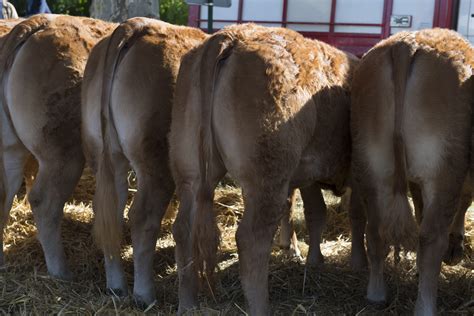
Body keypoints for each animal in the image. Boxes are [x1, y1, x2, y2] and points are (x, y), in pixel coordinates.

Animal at [81, 17, 206, 306]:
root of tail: (134, 24)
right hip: (154, 161)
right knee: (141, 217)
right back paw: (143, 294)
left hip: (104, 156)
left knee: (111, 214)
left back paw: (116, 286)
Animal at [168, 22, 358, 314]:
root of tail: (231, 36)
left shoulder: (307, 176)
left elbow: (314, 212)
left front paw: (309, 258)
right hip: (266, 180)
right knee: (251, 240)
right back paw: (261, 306)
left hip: (191, 176)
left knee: (184, 230)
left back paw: (187, 303)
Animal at [350, 28, 472, 314]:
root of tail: (405, 44)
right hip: (443, 169)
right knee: (431, 238)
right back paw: (425, 305)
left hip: (372, 165)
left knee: (376, 230)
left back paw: (376, 294)